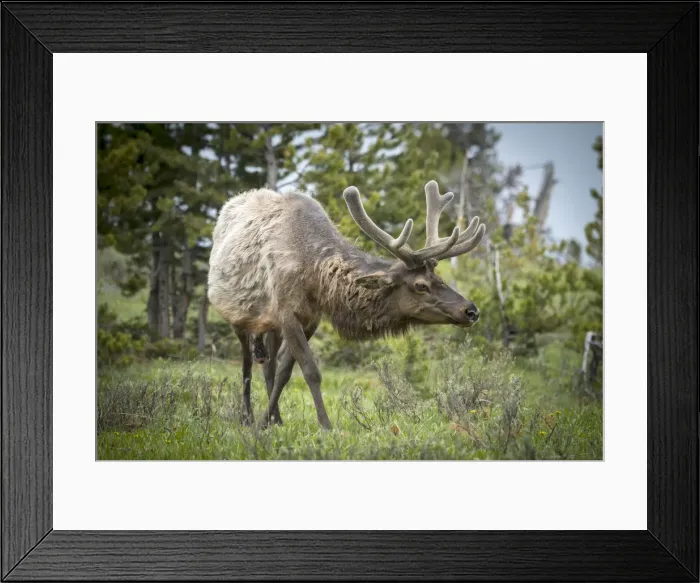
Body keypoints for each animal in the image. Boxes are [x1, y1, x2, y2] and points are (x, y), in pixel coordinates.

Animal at [207, 180, 486, 430]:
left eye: (439, 278)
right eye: (421, 285)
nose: (471, 310)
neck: (315, 275)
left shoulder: (310, 318)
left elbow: (284, 372)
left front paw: (271, 421)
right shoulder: (286, 311)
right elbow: (310, 371)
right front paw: (324, 425)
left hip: (270, 325)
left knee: (268, 367)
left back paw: (275, 418)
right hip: (238, 316)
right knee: (246, 366)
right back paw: (247, 417)